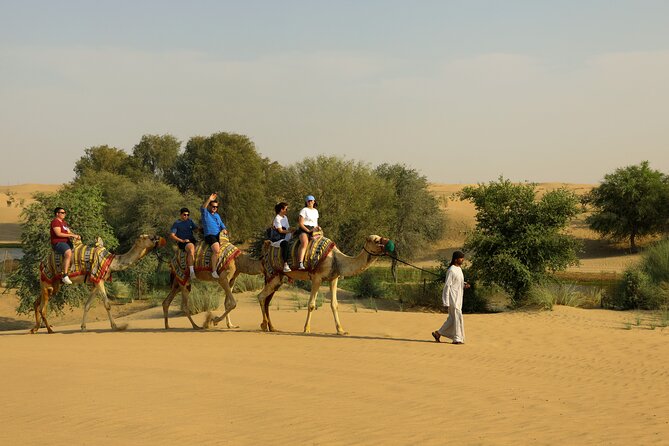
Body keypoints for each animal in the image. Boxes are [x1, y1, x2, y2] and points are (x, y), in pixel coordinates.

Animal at [31, 235, 166, 332]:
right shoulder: (99, 279)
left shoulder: (95, 281)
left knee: (37, 303)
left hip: (53, 285)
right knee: (42, 307)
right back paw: (49, 330)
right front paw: (116, 326)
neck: (111, 262)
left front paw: (83, 327)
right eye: (145, 237)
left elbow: (87, 305)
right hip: (48, 281)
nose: (157, 238)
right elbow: (107, 304)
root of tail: (42, 264)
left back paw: (34, 329)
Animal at [256, 233, 392, 334]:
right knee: (261, 296)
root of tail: (266, 248)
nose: (388, 242)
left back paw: (272, 327)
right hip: (274, 275)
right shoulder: (317, 278)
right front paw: (306, 329)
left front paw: (341, 330)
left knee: (267, 300)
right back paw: (264, 325)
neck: (336, 259)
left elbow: (334, 304)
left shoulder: (333, 279)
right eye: (376, 240)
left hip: (277, 278)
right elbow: (311, 304)